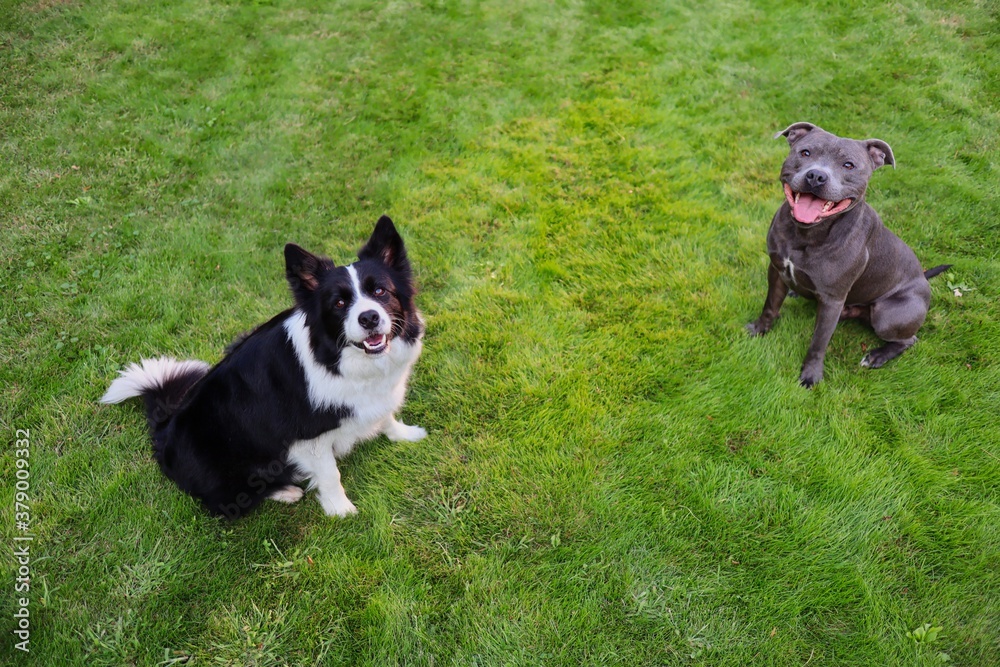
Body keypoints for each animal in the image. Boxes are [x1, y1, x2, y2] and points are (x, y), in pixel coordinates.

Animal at [101, 215, 426, 518]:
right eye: (339, 303)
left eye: (380, 291)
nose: (369, 318)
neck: (338, 360)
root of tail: (163, 429)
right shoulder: (305, 436)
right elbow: (330, 473)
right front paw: (341, 511)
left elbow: (386, 416)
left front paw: (405, 434)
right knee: (223, 502)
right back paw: (284, 491)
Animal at [747, 122, 949, 387]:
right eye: (805, 153)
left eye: (848, 165)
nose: (816, 176)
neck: (806, 234)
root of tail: (924, 278)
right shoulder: (777, 270)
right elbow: (770, 306)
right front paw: (759, 329)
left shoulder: (832, 300)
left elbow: (818, 342)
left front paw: (811, 375)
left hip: (887, 316)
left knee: (908, 339)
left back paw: (876, 356)